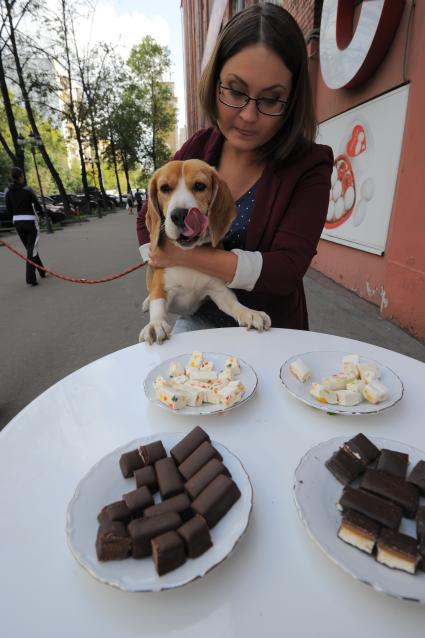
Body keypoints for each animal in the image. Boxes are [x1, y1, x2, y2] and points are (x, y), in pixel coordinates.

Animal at [139, 160, 272, 348]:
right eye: (164, 188)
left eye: (200, 186)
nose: (180, 214)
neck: (188, 255)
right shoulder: (161, 288)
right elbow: (157, 304)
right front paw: (155, 324)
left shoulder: (218, 290)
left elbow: (233, 303)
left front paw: (250, 313)